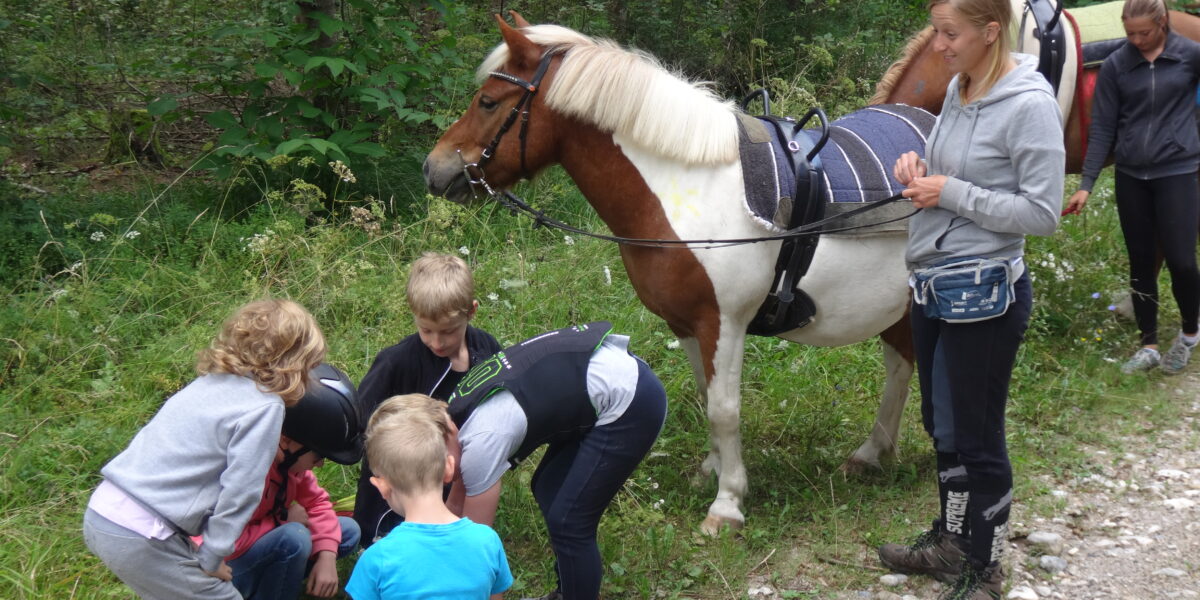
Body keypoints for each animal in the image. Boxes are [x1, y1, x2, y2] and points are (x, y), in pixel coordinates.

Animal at [424, 14, 918, 534]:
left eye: (488, 101)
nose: (434, 169)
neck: (686, 191)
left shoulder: (723, 324)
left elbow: (724, 409)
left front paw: (727, 504)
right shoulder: (685, 324)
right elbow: (706, 396)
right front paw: (713, 470)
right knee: (901, 365)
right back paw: (872, 453)